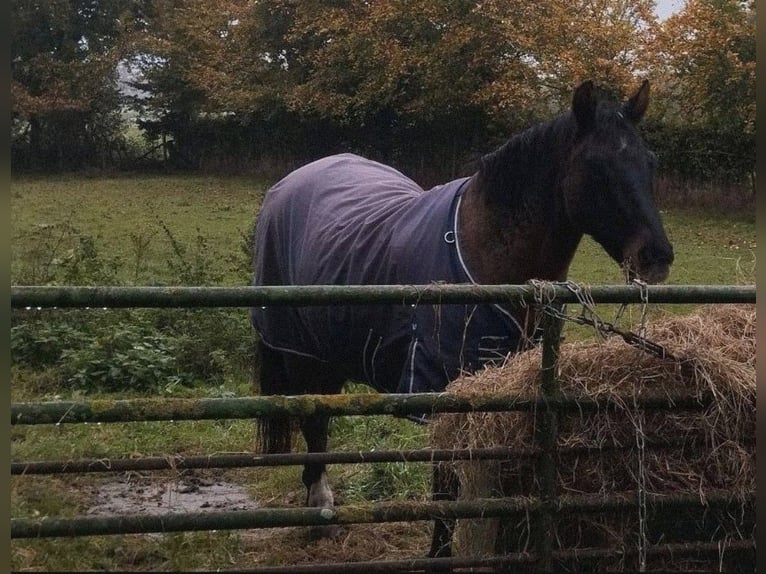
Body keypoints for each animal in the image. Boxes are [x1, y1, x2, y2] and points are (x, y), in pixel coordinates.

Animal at [249, 81, 676, 560]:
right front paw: (439, 553)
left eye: (650, 162)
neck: (486, 259)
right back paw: (319, 512)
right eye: (596, 166)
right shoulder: (445, 397)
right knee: (315, 426)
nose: (656, 257)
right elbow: (446, 488)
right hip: (302, 354)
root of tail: (292, 182)